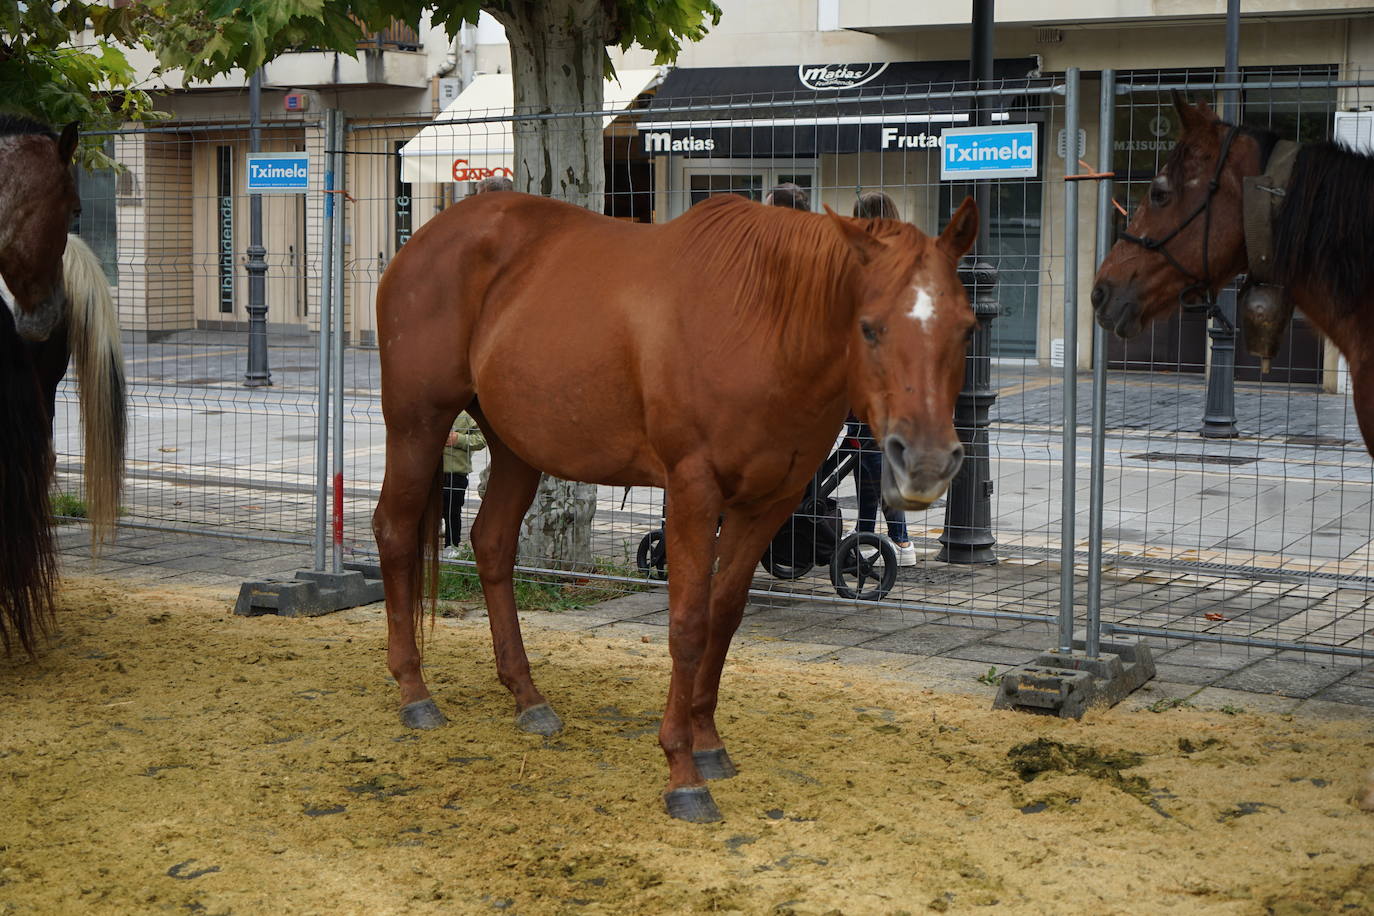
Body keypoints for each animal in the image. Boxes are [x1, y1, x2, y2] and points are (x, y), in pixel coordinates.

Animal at [376, 189, 978, 818]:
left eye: (967, 329)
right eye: (869, 327)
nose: (928, 460)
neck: (763, 320)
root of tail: (425, 238)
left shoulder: (768, 503)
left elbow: (724, 616)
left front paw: (709, 743)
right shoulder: (693, 490)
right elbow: (688, 623)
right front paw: (682, 770)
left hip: (516, 444)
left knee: (492, 545)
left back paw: (528, 697)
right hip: (417, 421)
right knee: (394, 532)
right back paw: (414, 691)